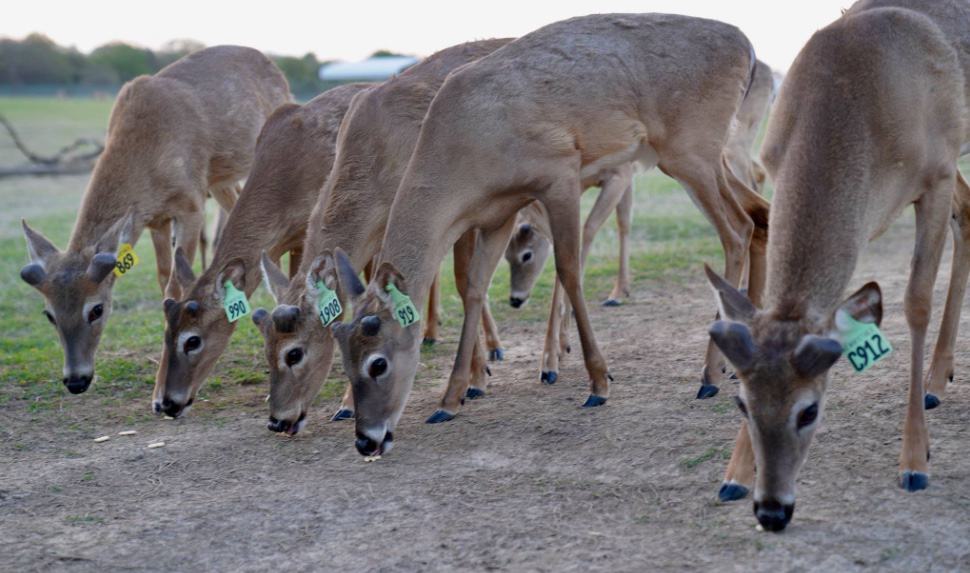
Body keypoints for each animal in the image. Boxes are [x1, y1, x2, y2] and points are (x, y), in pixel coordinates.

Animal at [19, 46, 290, 395]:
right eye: (49, 314)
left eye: (97, 308)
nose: (76, 380)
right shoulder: (156, 221)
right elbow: (163, 280)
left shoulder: (190, 204)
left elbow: (176, 284)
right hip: (220, 180)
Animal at [254, 39, 514, 436]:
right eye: (266, 348)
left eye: (294, 352)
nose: (278, 420)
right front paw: (346, 405)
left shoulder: (455, 211)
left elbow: (464, 283)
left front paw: (474, 382)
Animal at [323, 13, 768, 457]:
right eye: (343, 361)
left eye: (378, 362)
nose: (366, 440)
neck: (466, 140)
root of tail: (746, 46)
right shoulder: (497, 214)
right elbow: (474, 287)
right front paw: (450, 399)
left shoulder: (560, 174)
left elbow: (569, 267)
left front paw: (598, 382)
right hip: (702, 157)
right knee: (759, 214)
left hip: (690, 151)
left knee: (736, 230)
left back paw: (710, 374)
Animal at [705, 1, 968, 532]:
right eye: (742, 403)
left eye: (809, 411)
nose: (772, 511)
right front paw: (734, 473)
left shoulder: (936, 174)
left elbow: (915, 303)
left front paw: (915, 460)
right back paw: (937, 380)